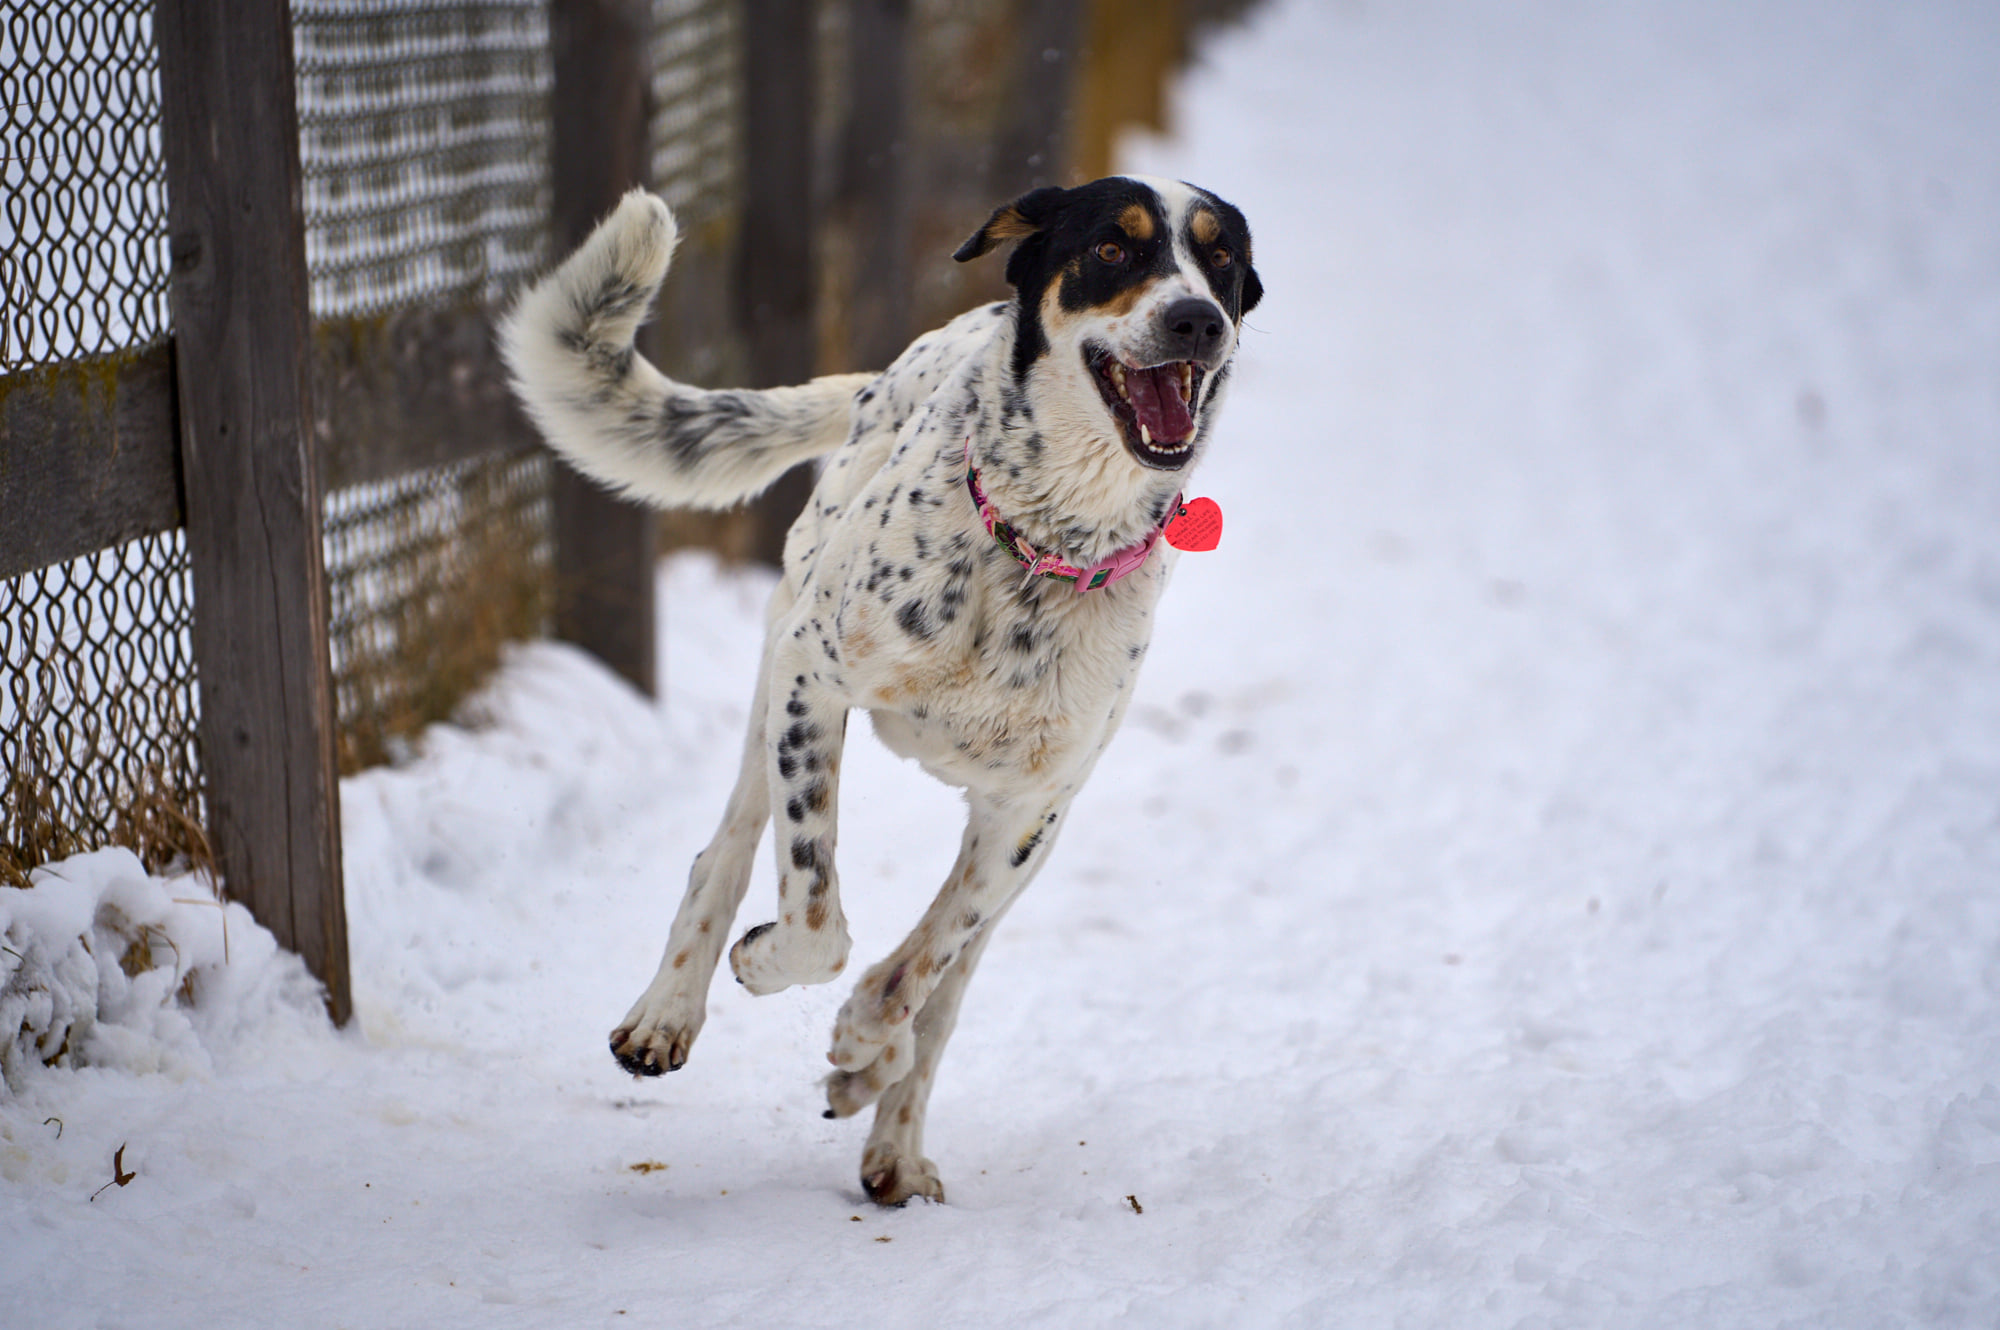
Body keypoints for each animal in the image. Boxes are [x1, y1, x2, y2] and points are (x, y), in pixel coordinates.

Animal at [500, 176, 1256, 1200]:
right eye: (1111, 249)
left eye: (1221, 259)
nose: (1197, 320)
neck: (1044, 548)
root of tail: (878, 381)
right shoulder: (812, 683)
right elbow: (817, 915)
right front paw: (770, 969)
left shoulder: (1028, 813)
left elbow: (918, 973)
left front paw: (864, 1047)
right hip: (780, 649)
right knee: (725, 852)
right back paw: (668, 1015)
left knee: (943, 994)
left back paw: (890, 1133)